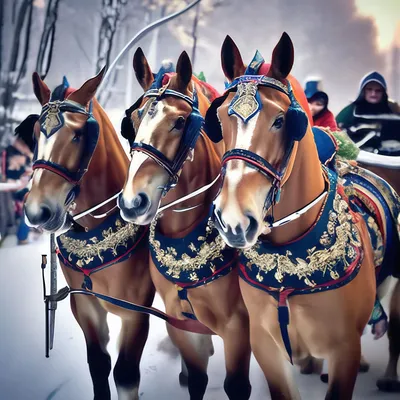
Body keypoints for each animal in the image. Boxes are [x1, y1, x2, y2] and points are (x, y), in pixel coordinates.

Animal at [22, 72, 155, 400]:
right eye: (35, 133)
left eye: (79, 135)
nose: (37, 211)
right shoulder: (85, 306)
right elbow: (98, 364)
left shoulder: (136, 312)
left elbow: (125, 375)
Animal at [117, 50, 252, 400]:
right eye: (133, 121)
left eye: (180, 122)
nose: (133, 202)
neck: (184, 234)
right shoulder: (178, 320)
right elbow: (196, 379)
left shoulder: (239, 325)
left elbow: (237, 385)